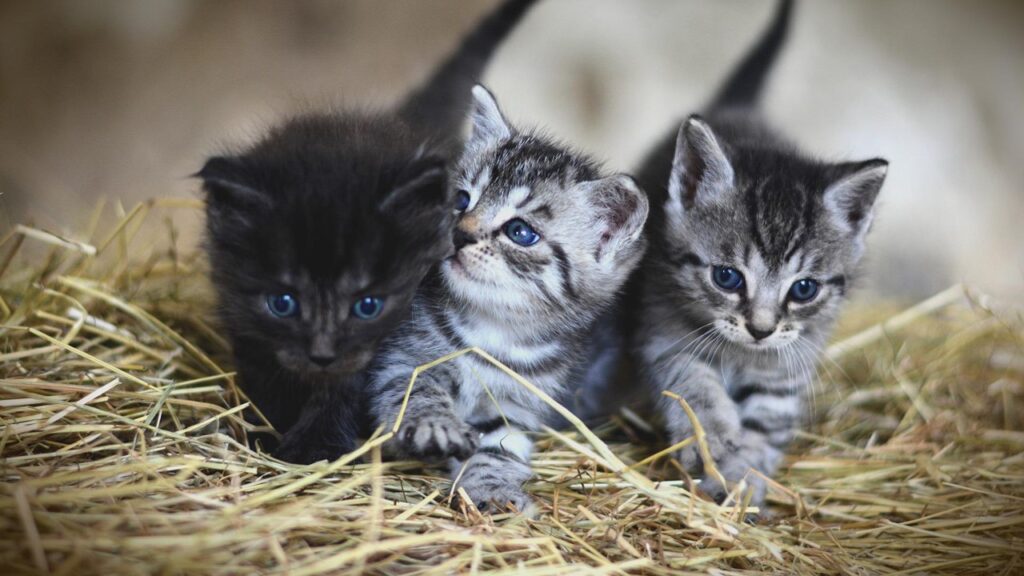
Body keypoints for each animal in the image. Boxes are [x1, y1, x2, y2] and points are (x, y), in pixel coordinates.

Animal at [194, 0, 540, 459]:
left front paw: (315, 445)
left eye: (367, 306)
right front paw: (266, 427)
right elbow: (265, 372)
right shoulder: (242, 318)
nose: (322, 354)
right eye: (282, 303)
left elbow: (346, 385)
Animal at [368, 83, 647, 508]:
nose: (460, 234)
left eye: (520, 232)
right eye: (461, 200)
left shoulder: (518, 405)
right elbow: (415, 390)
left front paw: (494, 489)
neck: (493, 328)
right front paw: (435, 423)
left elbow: (498, 448)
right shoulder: (400, 359)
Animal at [630, 0, 888, 502]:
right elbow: (691, 382)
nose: (761, 329)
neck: (741, 354)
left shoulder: (789, 363)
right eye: (727, 277)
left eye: (804, 289)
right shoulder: (662, 327)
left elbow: (767, 421)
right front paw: (713, 439)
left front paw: (745, 478)